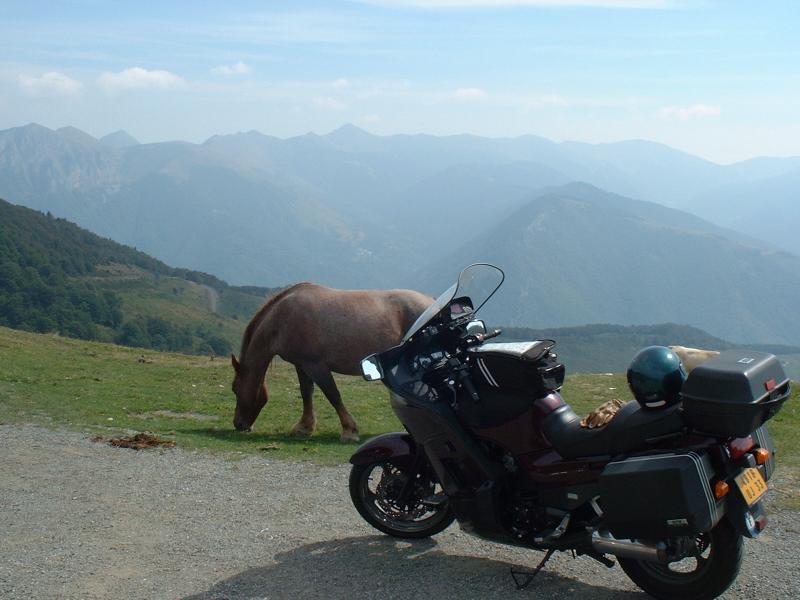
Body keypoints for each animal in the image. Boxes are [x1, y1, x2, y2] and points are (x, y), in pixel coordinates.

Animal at [230, 282, 432, 440]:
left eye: (235, 389)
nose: (238, 424)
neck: (283, 319)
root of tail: (431, 302)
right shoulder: (301, 365)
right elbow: (306, 393)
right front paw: (305, 427)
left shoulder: (316, 365)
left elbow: (332, 395)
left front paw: (349, 430)